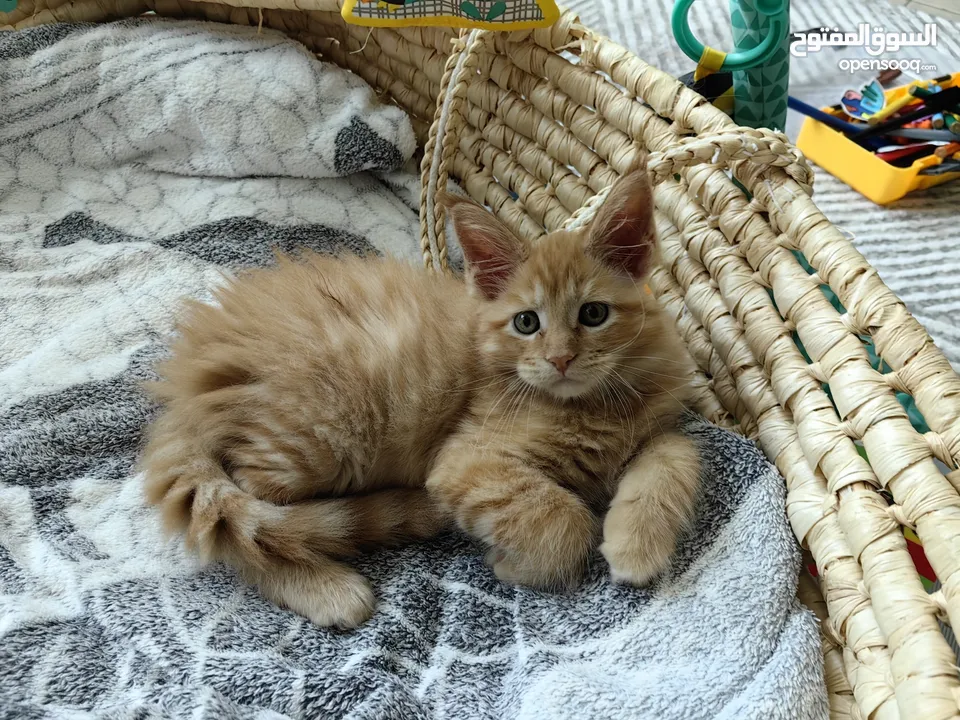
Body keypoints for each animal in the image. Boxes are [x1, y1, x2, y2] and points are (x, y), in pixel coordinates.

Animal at [142, 167, 696, 624]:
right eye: (527, 322)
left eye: (594, 314)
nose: (560, 359)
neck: (592, 405)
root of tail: (187, 370)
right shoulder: (464, 459)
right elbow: (563, 518)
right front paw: (520, 567)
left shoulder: (661, 423)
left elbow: (678, 454)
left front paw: (636, 546)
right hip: (321, 435)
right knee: (247, 530)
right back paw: (329, 589)